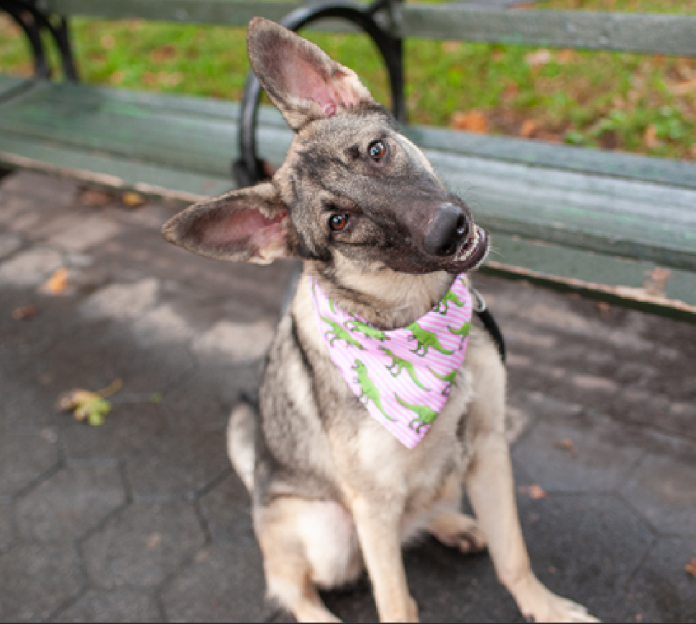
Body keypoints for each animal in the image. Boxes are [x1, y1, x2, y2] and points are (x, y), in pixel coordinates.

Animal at [160, 17, 596, 620]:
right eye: (339, 222)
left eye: (377, 149)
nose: (450, 229)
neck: (416, 319)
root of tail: (261, 486)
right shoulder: (373, 504)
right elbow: (395, 601)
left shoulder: (489, 448)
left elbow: (513, 555)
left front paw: (544, 606)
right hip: (326, 530)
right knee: (291, 584)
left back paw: (453, 524)